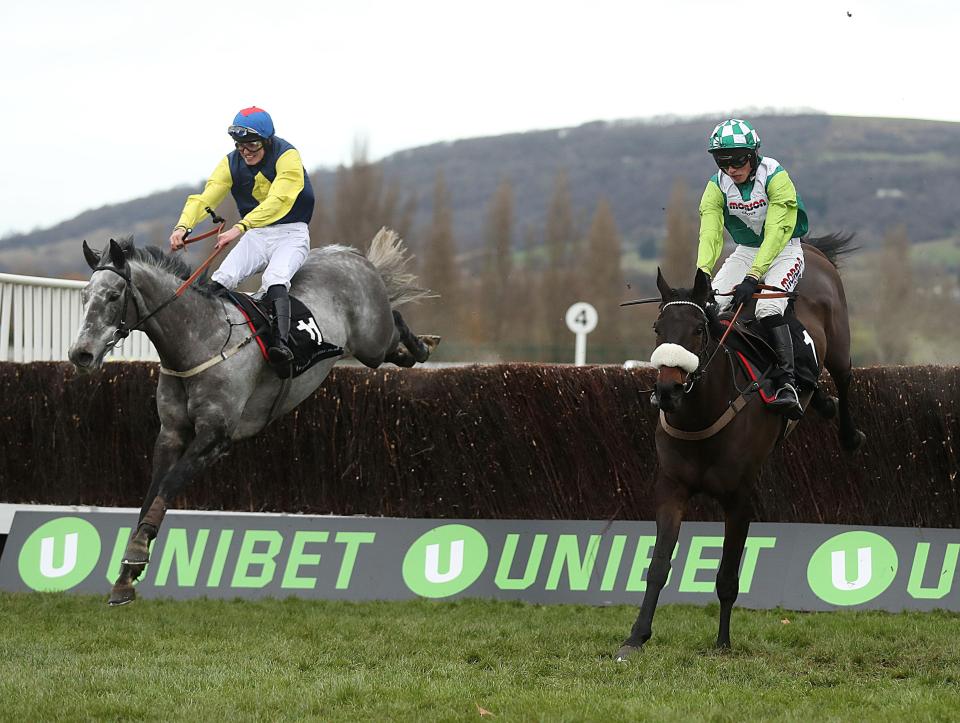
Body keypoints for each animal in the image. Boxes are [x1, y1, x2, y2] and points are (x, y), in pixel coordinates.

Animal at [68, 229, 438, 604]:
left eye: (114, 295)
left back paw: (423, 344)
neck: (199, 341)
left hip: (371, 344)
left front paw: (136, 553)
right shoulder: (170, 433)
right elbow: (152, 495)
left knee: (395, 323)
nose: (80, 354)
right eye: (84, 296)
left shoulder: (216, 437)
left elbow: (169, 485)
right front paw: (127, 574)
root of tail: (350, 254)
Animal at [620, 236, 868, 660]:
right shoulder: (671, 489)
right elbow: (658, 566)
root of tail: (811, 248)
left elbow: (727, 575)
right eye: (657, 327)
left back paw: (847, 432)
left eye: (699, 330)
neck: (701, 416)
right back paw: (818, 401)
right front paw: (636, 636)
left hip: (838, 339)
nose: (667, 391)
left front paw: (722, 640)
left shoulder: (740, 497)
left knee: (843, 375)